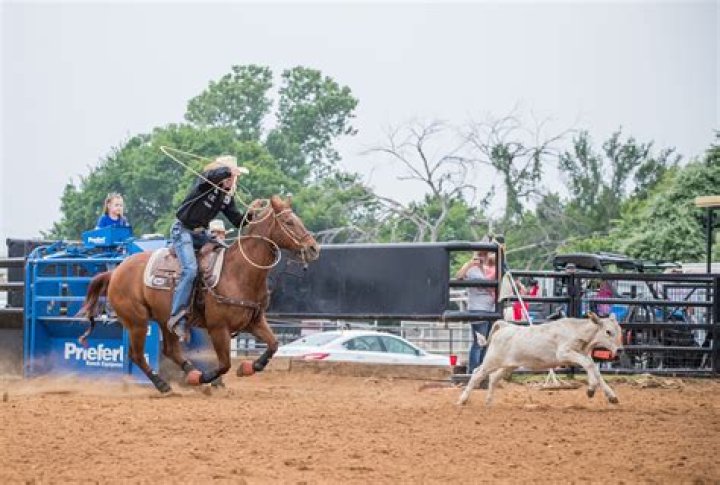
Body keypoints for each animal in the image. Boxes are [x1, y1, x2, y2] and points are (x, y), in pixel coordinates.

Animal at [457, 312, 623, 406]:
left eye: (619, 330)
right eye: (608, 331)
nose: (620, 350)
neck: (578, 331)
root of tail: (505, 326)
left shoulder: (583, 354)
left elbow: (595, 370)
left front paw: (612, 396)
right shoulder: (564, 353)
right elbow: (589, 365)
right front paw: (590, 390)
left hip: (508, 365)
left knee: (493, 377)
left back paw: (489, 401)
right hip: (492, 360)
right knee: (477, 373)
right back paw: (462, 400)